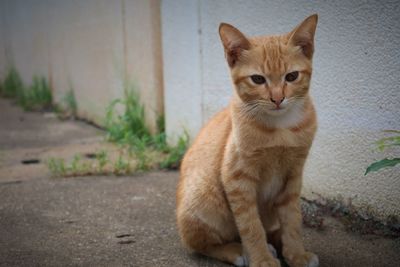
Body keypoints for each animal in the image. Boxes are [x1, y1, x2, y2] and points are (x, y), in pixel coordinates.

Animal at [177, 14, 318, 267]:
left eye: (292, 76)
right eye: (258, 79)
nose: (277, 99)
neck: (281, 127)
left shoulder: (293, 175)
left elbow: (292, 220)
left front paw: (296, 254)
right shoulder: (237, 179)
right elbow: (251, 226)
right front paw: (261, 259)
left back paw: (276, 240)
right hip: (205, 200)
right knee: (199, 244)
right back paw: (238, 250)